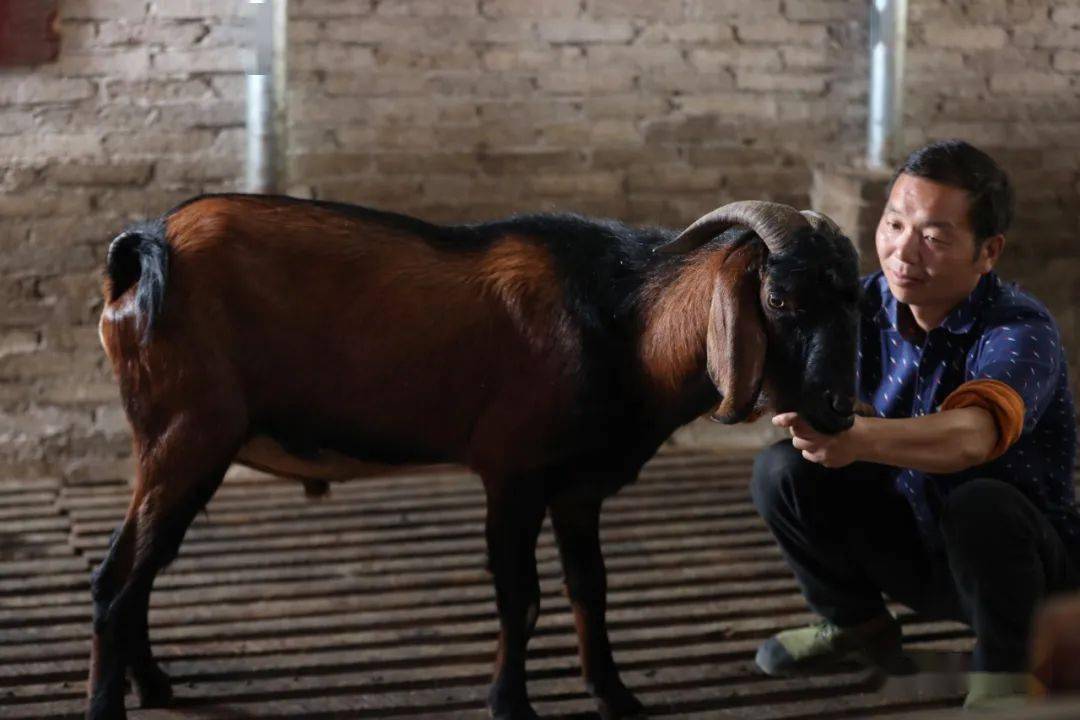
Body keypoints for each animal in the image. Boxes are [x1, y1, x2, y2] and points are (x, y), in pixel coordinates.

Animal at [86, 195, 859, 720]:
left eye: (855, 302)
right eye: (780, 298)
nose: (837, 407)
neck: (622, 324)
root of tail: (147, 247)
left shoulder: (579, 489)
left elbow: (590, 589)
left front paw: (614, 695)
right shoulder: (510, 472)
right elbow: (521, 596)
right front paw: (510, 703)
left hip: (183, 446)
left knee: (138, 570)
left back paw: (154, 684)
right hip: (186, 435)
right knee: (116, 580)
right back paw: (110, 703)